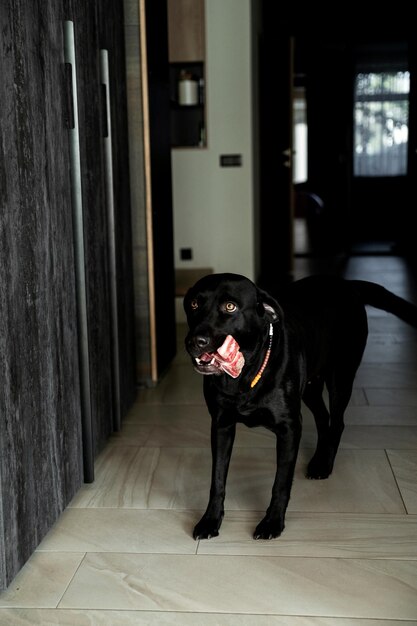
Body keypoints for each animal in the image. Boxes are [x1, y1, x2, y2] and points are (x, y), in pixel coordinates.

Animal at [183, 270, 416, 540]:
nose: (194, 341)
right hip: (311, 387)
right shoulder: (221, 425)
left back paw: (324, 464)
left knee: (337, 422)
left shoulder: (289, 428)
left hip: (340, 378)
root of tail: (345, 283)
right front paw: (210, 520)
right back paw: (318, 459)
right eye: (194, 304)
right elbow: (217, 479)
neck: (243, 376)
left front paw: (272, 522)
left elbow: (281, 482)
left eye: (230, 307)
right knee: (323, 417)